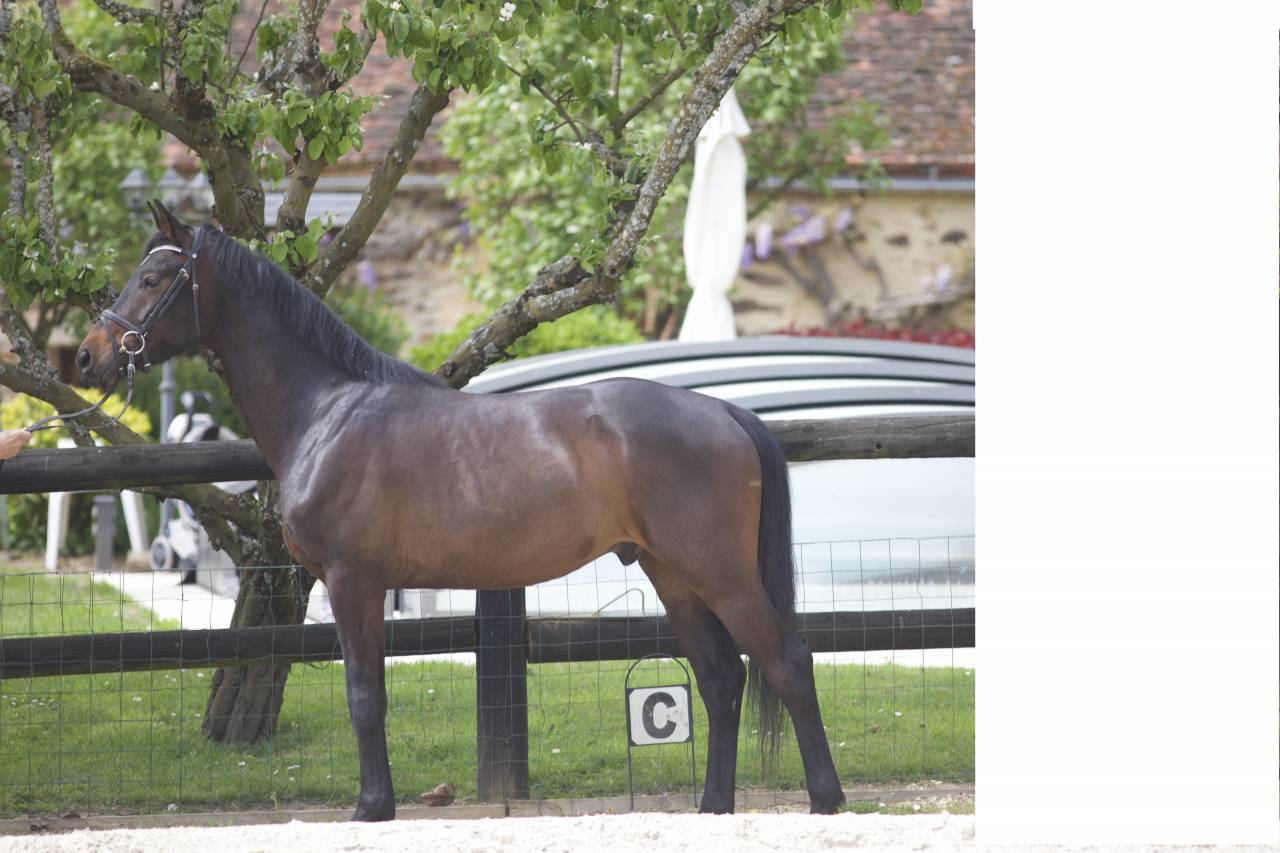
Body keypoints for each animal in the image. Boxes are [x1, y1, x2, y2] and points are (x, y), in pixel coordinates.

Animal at [75, 201, 845, 820]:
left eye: (152, 280)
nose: (87, 357)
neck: (330, 410)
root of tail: (722, 411)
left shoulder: (353, 581)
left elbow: (364, 694)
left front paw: (372, 807)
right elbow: (369, 692)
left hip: (720, 573)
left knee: (787, 660)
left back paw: (825, 797)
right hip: (673, 574)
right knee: (721, 679)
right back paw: (714, 805)